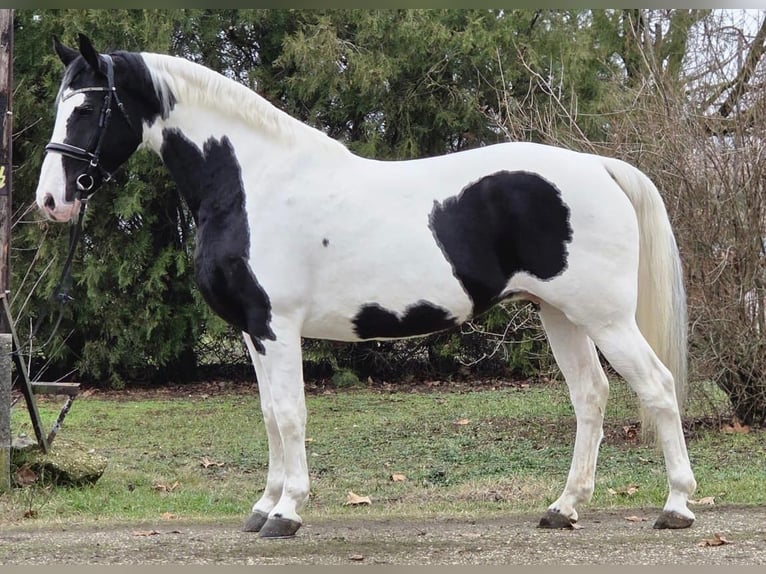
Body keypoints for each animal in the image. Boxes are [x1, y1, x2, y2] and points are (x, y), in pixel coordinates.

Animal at [34, 34, 697, 538]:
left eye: (87, 109)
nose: (50, 200)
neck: (252, 183)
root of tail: (598, 166)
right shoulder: (253, 331)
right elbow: (269, 415)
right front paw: (262, 507)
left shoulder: (277, 327)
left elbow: (291, 414)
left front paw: (286, 513)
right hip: (559, 313)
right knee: (590, 396)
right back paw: (564, 508)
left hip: (605, 316)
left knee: (658, 386)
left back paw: (676, 506)